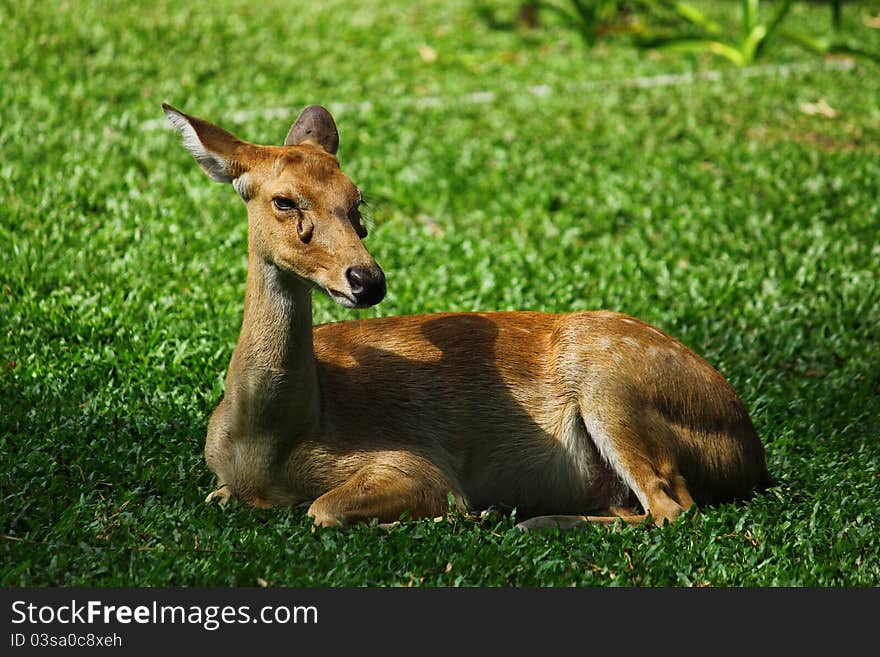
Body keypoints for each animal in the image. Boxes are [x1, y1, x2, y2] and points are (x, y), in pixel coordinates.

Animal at [162, 104, 768, 532]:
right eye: (284, 201)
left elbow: (324, 510)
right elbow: (226, 498)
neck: (268, 445)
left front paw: (463, 513)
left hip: (614, 383)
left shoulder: (411, 461)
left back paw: (530, 520)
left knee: (673, 507)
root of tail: (752, 452)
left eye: (357, 202)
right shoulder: (222, 482)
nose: (368, 279)